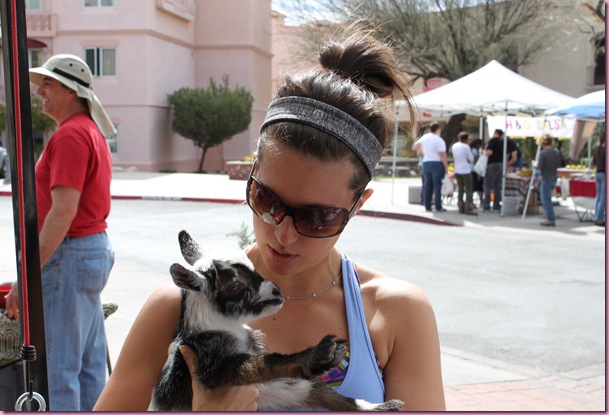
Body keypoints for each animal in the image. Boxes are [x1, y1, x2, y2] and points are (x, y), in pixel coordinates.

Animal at [149, 231, 402, 412]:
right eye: (235, 285)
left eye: (254, 268)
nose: (277, 291)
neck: (217, 328)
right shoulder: (212, 368)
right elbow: (263, 364)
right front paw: (317, 357)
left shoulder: (269, 390)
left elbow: (317, 392)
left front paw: (381, 406)